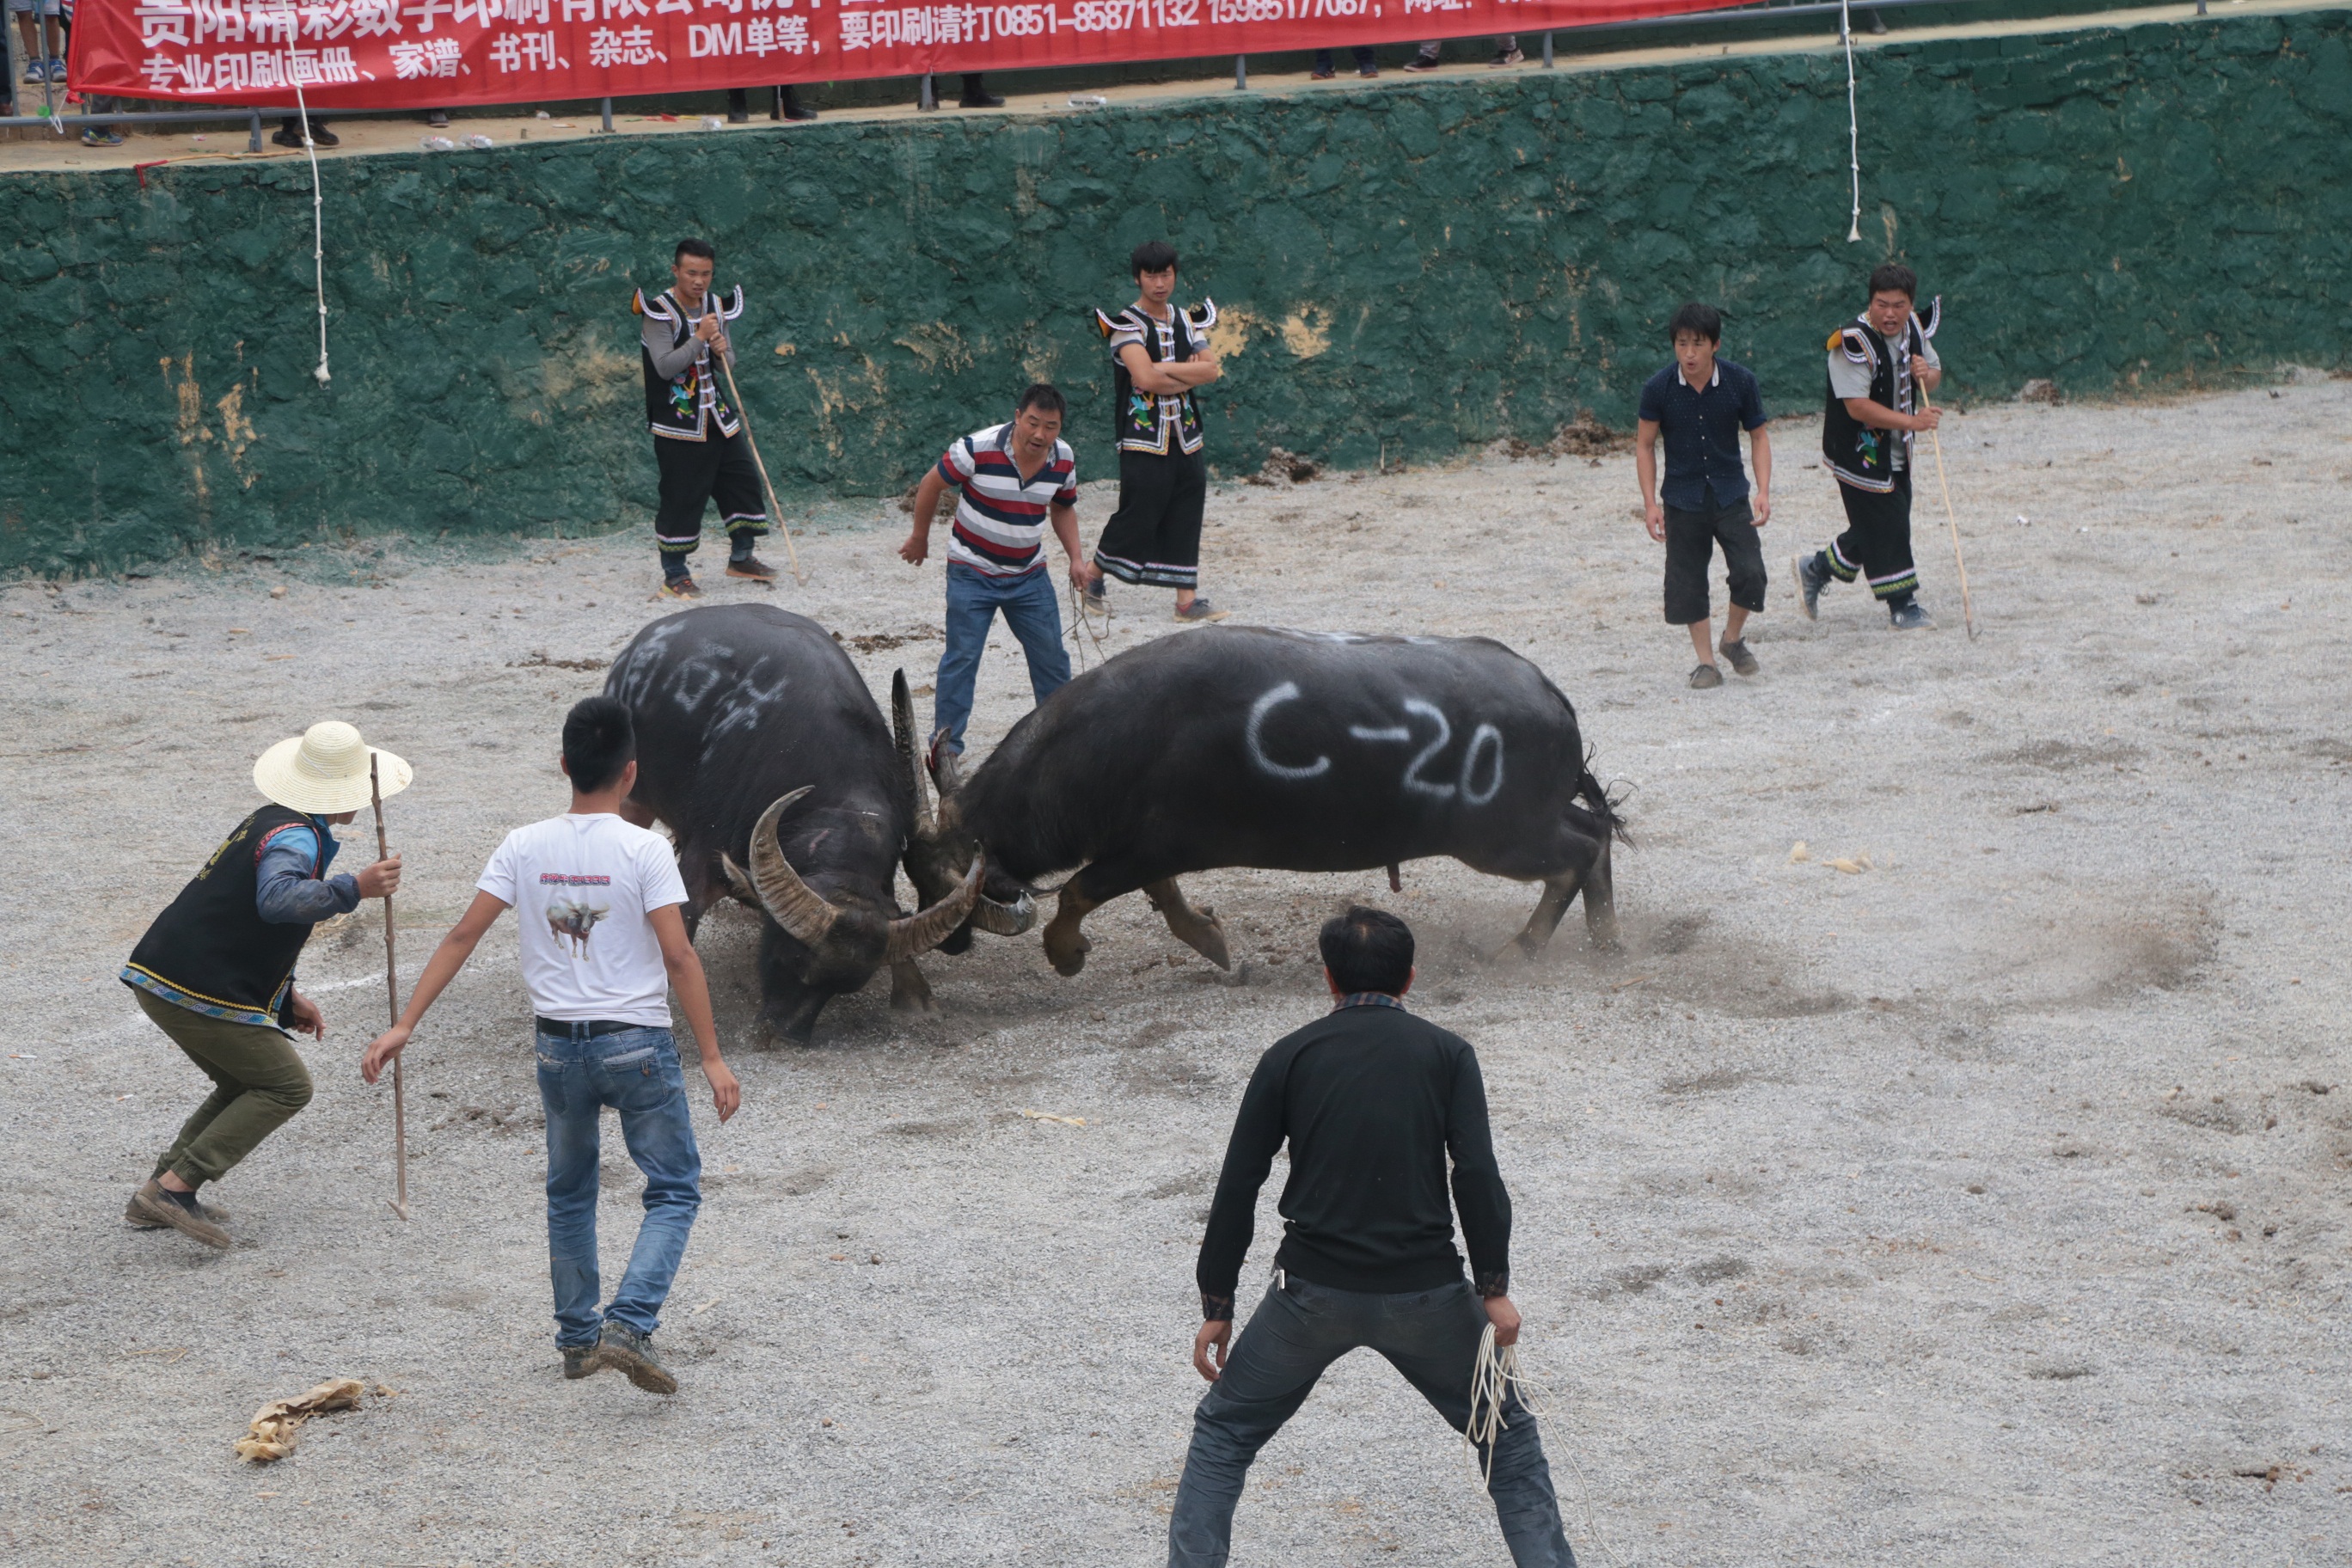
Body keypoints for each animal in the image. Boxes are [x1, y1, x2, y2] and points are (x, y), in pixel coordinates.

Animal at [917, 629, 1618, 983]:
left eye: (935, 880)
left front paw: (1065, 955)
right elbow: (1163, 898)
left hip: (1502, 839)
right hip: (1531, 822)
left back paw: (1523, 950)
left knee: (1578, 852)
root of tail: (1547, 691)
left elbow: (1076, 892)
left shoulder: (1149, 848)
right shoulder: (1144, 850)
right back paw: (1607, 939)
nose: (949, 946)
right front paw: (1210, 940)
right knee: (1597, 835)